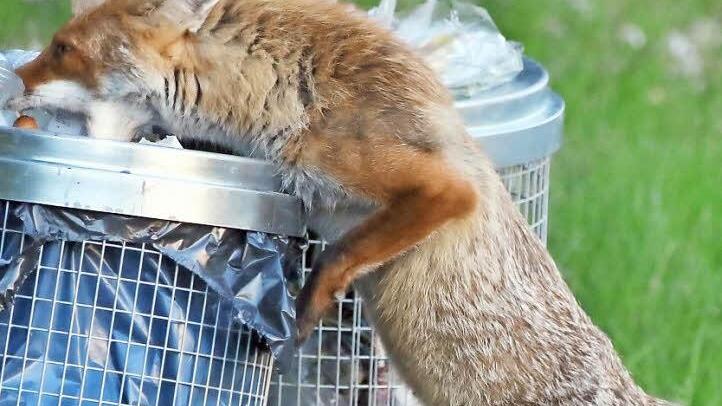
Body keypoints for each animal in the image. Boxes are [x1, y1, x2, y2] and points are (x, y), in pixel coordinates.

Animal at [7, 0, 674, 404]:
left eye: (62, 49)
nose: (13, 83)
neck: (292, 96)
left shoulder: (438, 187)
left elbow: (338, 257)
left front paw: (301, 318)